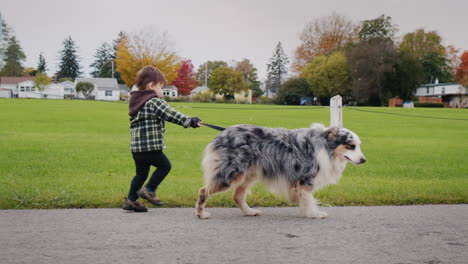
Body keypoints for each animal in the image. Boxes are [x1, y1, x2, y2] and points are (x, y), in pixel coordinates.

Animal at [194, 123, 366, 219]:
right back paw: (201, 214)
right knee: (203, 191)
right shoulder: (304, 179)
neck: (325, 146)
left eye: (358, 145)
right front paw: (314, 214)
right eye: (351, 146)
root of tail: (221, 134)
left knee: (237, 196)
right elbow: (308, 199)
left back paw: (249, 212)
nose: (364, 160)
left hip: (248, 174)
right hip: (230, 175)